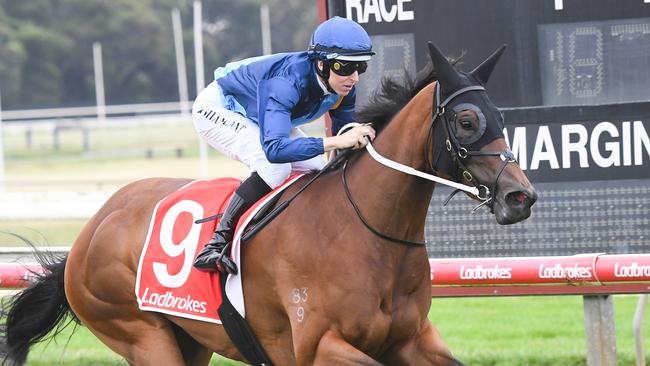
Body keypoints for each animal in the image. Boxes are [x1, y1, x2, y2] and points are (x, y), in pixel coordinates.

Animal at [2, 43, 536, 366]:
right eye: (466, 121)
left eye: (499, 115)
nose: (521, 196)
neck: (365, 231)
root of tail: (90, 229)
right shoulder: (319, 346)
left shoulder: (411, 339)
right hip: (140, 333)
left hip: (189, 339)